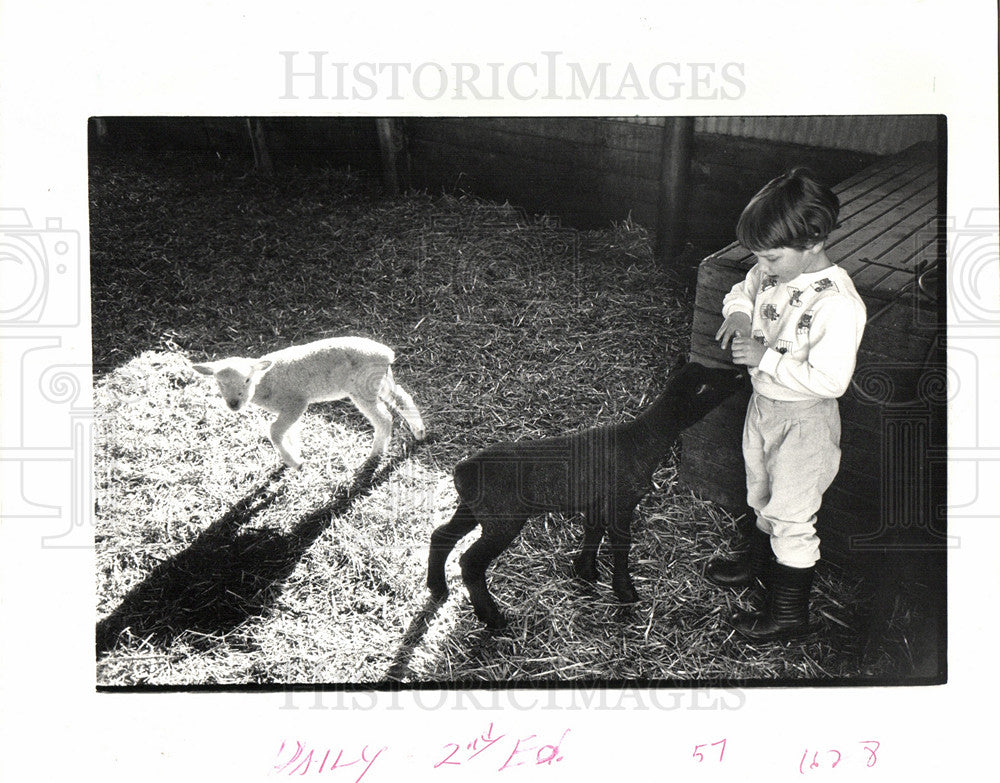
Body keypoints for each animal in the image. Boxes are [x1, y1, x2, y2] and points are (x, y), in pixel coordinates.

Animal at [192, 336, 426, 468]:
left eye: (247, 379)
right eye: (219, 383)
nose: (233, 404)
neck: (265, 382)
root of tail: (387, 354)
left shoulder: (295, 402)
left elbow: (274, 431)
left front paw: (294, 463)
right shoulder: (290, 409)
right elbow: (291, 431)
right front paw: (295, 452)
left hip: (362, 388)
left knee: (384, 418)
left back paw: (375, 454)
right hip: (379, 379)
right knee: (402, 398)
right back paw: (420, 432)